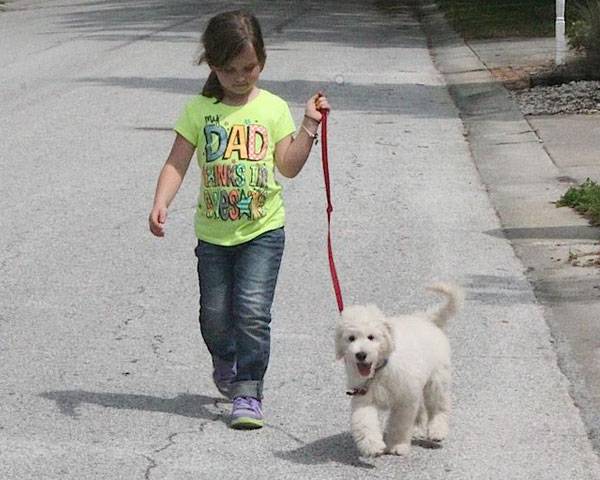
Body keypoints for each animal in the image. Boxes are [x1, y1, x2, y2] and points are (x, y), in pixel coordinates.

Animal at [336, 282, 462, 458]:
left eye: (371, 337)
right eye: (351, 338)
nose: (360, 354)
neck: (380, 370)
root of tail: (426, 320)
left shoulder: (404, 400)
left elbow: (399, 424)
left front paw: (397, 445)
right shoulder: (363, 396)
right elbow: (364, 421)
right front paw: (372, 446)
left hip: (437, 380)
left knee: (439, 406)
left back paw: (437, 431)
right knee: (421, 408)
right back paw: (417, 430)